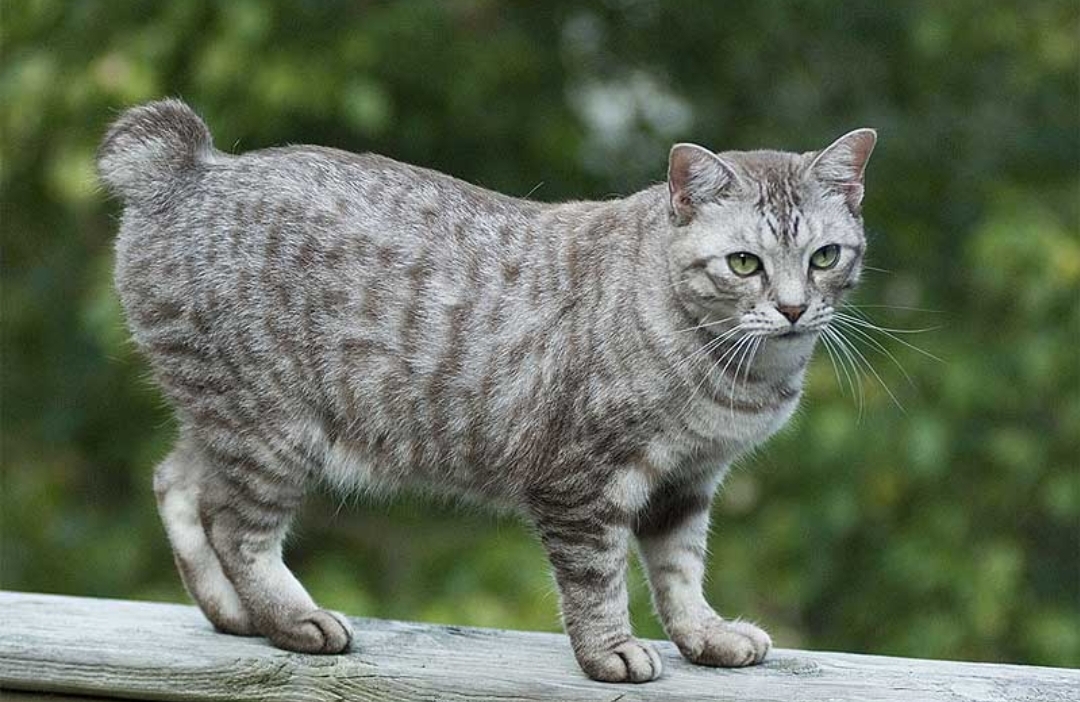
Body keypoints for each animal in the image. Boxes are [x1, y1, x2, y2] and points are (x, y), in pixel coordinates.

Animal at [99, 99, 876, 682]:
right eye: (744, 263)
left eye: (824, 257)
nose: (793, 307)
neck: (741, 373)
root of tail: (191, 168)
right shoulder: (582, 484)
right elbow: (597, 580)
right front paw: (611, 652)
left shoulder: (685, 483)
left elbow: (680, 574)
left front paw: (705, 637)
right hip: (271, 429)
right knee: (236, 529)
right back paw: (293, 620)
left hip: (224, 419)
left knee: (177, 483)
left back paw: (234, 614)